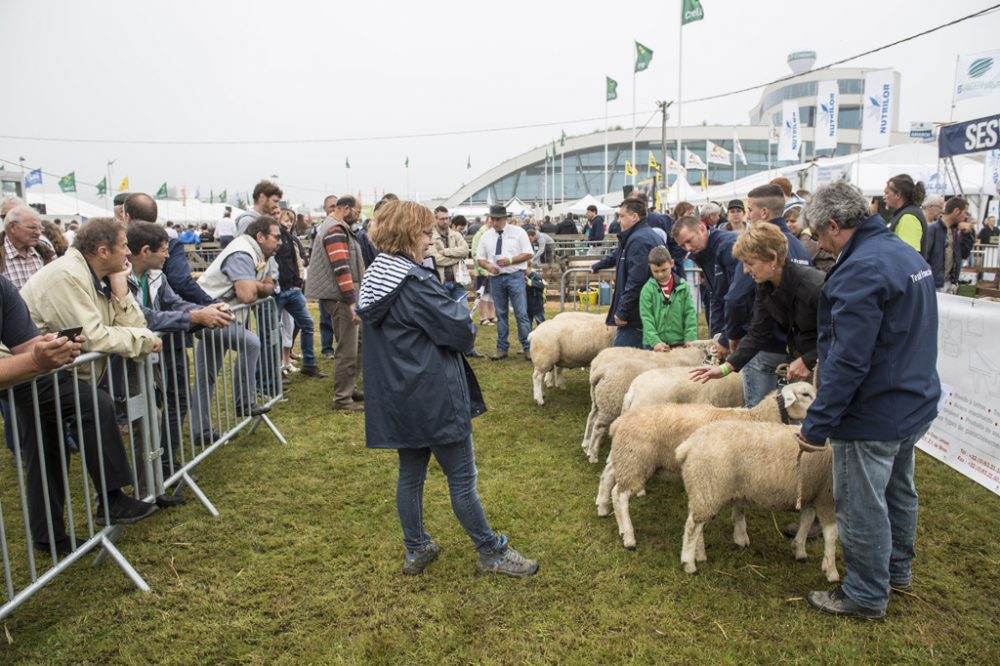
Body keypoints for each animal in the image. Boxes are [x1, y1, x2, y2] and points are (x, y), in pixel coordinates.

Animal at [596, 382, 816, 548]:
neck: (758, 417)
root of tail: (620, 422)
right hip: (636, 459)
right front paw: (742, 536)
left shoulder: (738, 476)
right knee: (620, 494)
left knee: (607, 476)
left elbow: (739, 509)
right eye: (805, 394)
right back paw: (628, 536)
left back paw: (603, 508)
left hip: (626, 456)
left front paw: (740, 537)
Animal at [672, 420, 836, 580]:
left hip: (700, 489)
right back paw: (689, 564)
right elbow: (831, 535)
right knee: (692, 527)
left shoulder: (813, 494)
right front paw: (831, 571)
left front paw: (800, 549)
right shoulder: (827, 498)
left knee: (696, 524)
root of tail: (688, 445)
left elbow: (807, 521)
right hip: (709, 488)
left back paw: (700, 555)